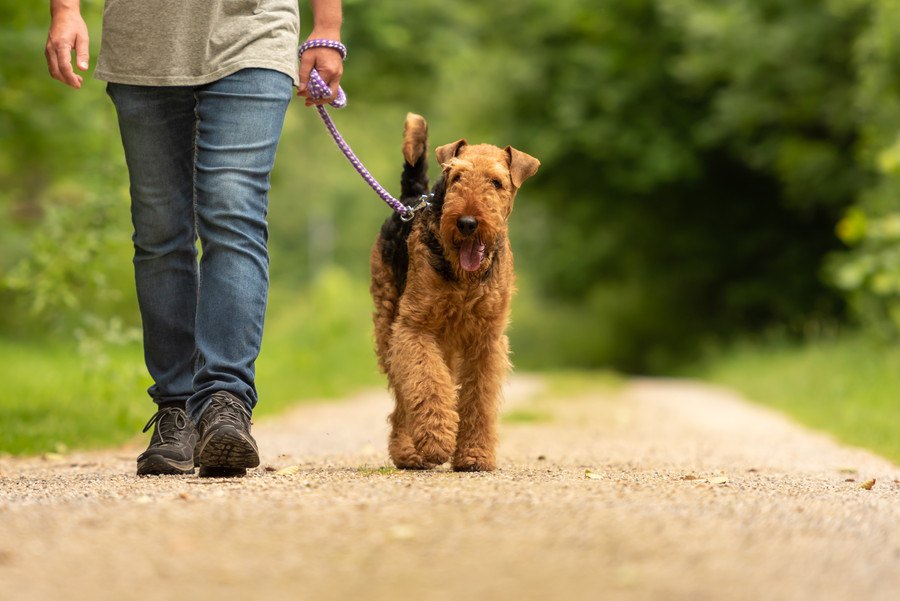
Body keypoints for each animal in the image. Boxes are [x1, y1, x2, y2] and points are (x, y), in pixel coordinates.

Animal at [368, 111, 536, 468]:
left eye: (496, 182)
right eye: (457, 177)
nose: (467, 223)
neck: (465, 278)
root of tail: (412, 199)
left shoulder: (486, 338)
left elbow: (477, 398)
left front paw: (474, 455)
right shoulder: (415, 327)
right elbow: (427, 383)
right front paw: (437, 440)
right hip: (390, 323)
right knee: (403, 393)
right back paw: (408, 451)